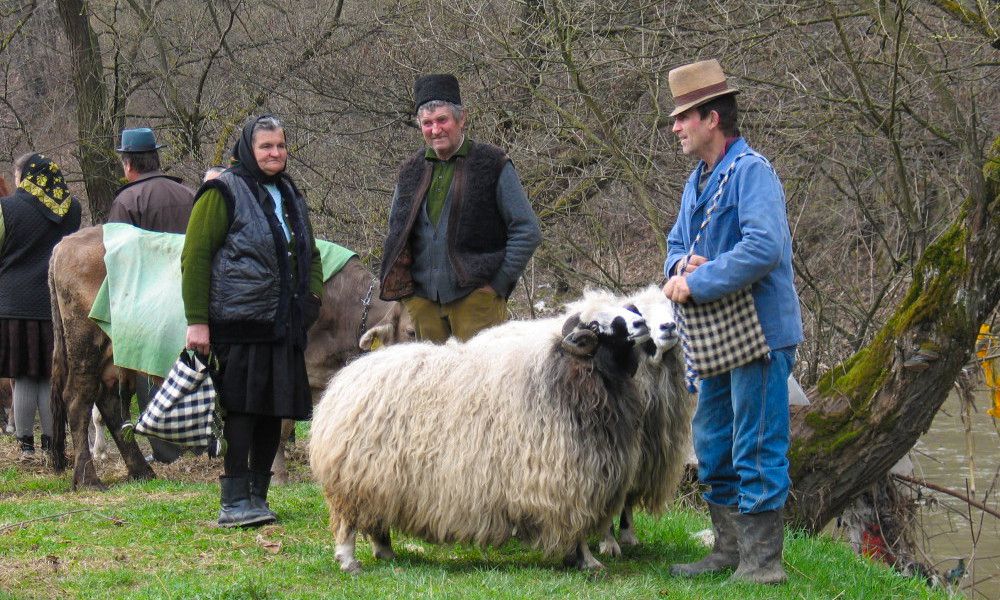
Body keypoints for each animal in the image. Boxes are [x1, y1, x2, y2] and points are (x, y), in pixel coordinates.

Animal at [48, 227, 408, 490]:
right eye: (409, 330)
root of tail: (72, 239)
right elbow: (279, 426)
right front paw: (276, 476)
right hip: (85, 343)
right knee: (78, 401)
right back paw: (88, 479)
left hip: (110, 352)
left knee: (107, 401)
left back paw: (140, 471)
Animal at [312, 300, 656, 572]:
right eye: (596, 325)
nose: (642, 323)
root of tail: (348, 377)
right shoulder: (567, 482)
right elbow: (577, 528)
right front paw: (588, 561)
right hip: (352, 480)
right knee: (347, 523)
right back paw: (349, 561)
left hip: (378, 480)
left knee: (377, 522)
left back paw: (385, 553)